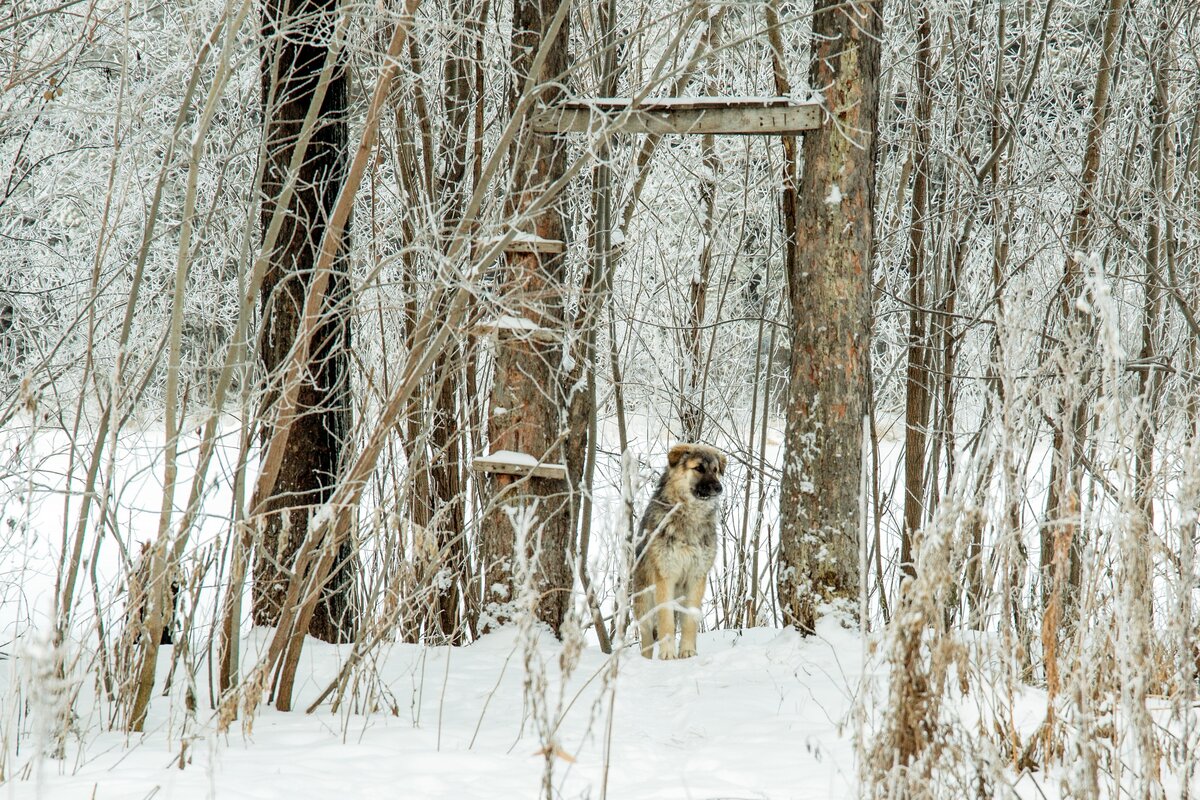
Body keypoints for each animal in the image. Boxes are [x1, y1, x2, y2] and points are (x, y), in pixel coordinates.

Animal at [633, 441, 724, 662]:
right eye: (699, 468)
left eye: (716, 470)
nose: (719, 488)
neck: (689, 517)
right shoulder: (665, 577)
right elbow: (665, 620)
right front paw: (667, 654)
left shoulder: (697, 577)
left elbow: (690, 620)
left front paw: (688, 652)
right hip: (644, 602)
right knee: (646, 639)